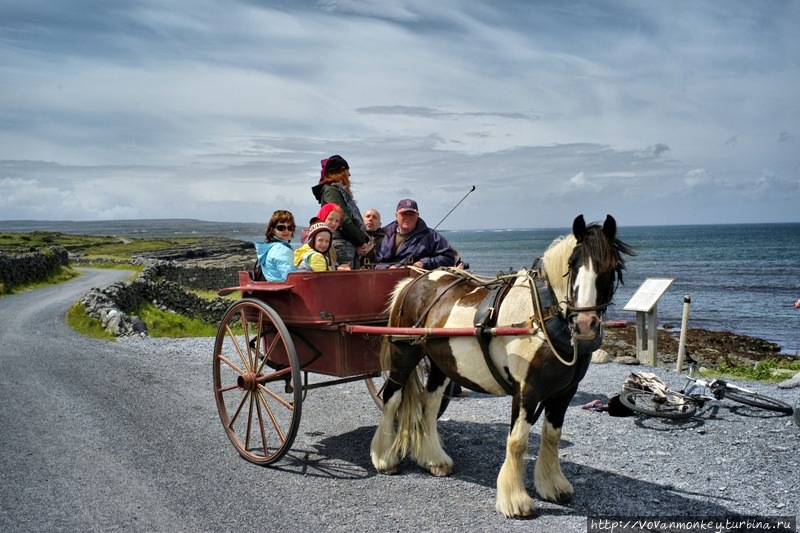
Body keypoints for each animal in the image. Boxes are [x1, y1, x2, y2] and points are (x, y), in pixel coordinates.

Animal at [372, 214, 636, 516]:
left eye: (611, 267)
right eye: (572, 265)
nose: (584, 325)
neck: (542, 316)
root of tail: (414, 281)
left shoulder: (564, 392)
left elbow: (552, 435)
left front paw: (552, 486)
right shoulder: (527, 390)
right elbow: (518, 440)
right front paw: (515, 499)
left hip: (442, 362)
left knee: (430, 403)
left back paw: (433, 459)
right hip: (403, 354)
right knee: (392, 398)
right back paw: (383, 457)